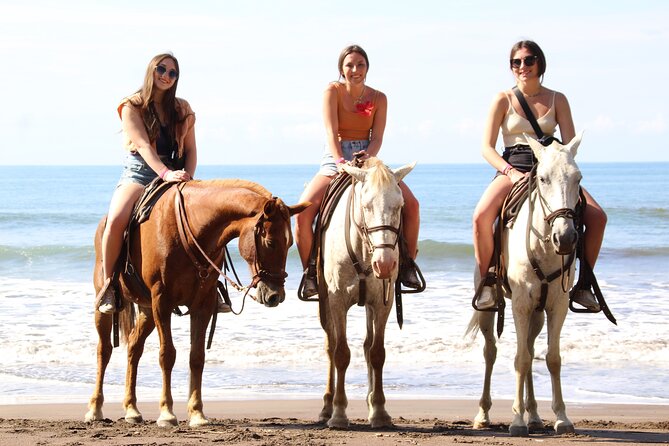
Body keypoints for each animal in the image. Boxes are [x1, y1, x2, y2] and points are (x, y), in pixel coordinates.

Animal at [84, 179, 310, 426]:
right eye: (269, 242)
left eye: (290, 243)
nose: (276, 295)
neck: (192, 232)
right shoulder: (162, 301)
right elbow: (167, 355)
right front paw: (167, 413)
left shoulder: (203, 304)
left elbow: (197, 356)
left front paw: (197, 413)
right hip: (111, 307)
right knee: (104, 350)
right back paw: (95, 408)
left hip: (147, 310)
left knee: (134, 347)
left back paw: (132, 409)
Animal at [316, 157, 414, 428]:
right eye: (366, 206)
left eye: (400, 206)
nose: (385, 263)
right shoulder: (337, 300)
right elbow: (340, 353)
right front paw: (339, 413)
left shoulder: (383, 302)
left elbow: (377, 353)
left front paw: (379, 411)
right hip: (325, 303)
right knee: (330, 345)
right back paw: (326, 408)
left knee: (368, 345)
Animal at [468, 134, 580, 438]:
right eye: (542, 178)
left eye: (578, 178)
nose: (565, 237)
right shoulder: (520, 303)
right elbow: (519, 359)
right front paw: (517, 421)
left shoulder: (557, 305)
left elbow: (551, 358)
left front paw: (561, 417)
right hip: (488, 308)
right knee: (491, 352)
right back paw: (483, 414)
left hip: (537, 314)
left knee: (530, 349)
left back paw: (535, 416)